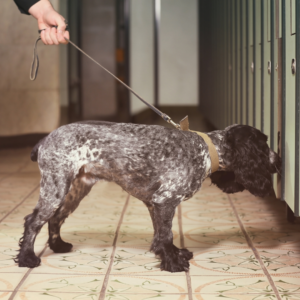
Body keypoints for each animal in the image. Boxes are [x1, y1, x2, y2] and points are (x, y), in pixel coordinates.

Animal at [14, 121, 282, 272]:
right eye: (264, 144)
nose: (279, 160)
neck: (206, 151)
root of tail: (45, 139)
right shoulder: (166, 200)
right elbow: (166, 235)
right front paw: (173, 264)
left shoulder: (155, 204)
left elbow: (161, 237)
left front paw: (172, 254)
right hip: (56, 186)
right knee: (33, 221)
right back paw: (27, 258)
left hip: (75, 189)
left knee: (55, 218)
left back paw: (58, 245)